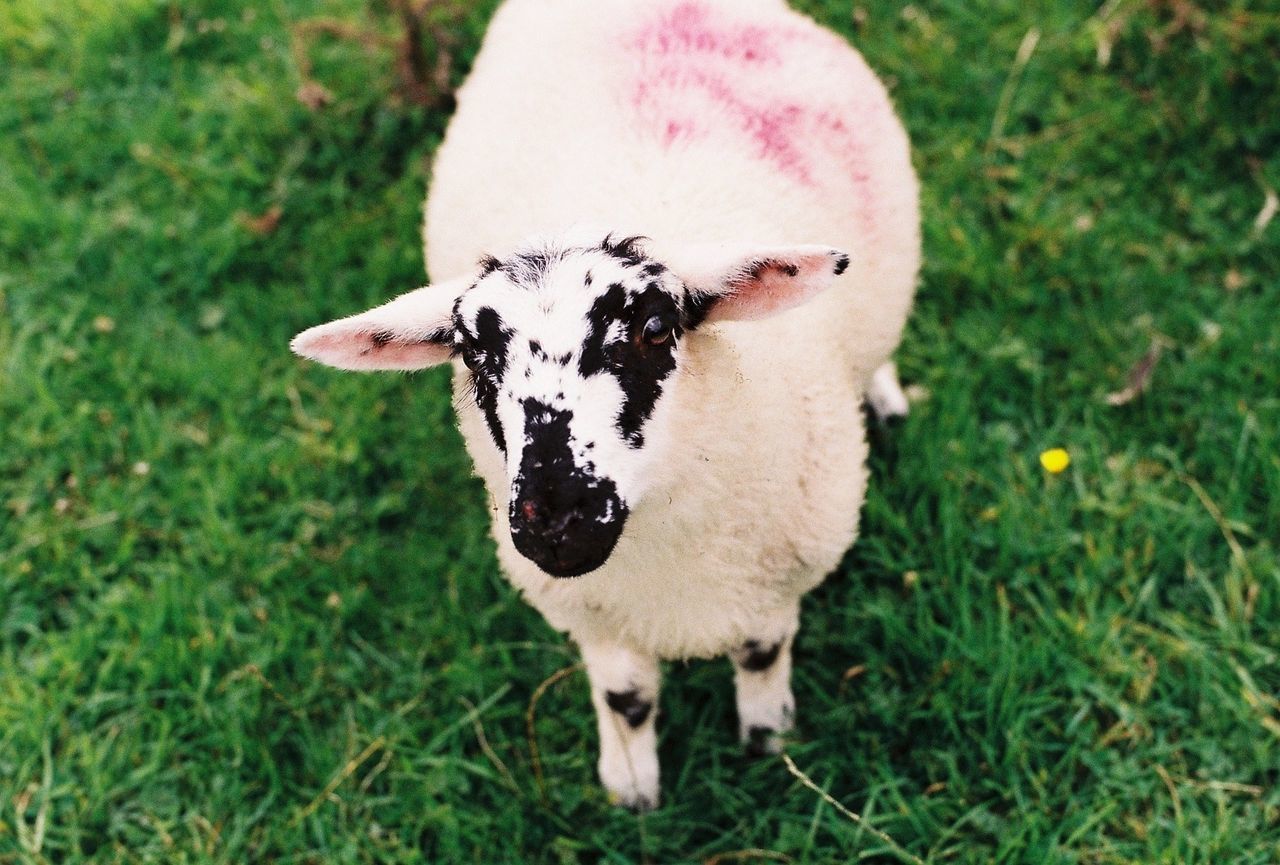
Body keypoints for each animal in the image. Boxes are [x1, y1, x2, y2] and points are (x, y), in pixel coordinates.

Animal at [289, 0, 916, 808]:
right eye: (475, 354)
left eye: (653, 328)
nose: (557, 518)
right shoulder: (588, 613)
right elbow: (627, 698)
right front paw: (633, 791)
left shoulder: (783, 575)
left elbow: (761, 651)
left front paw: (766, 738)